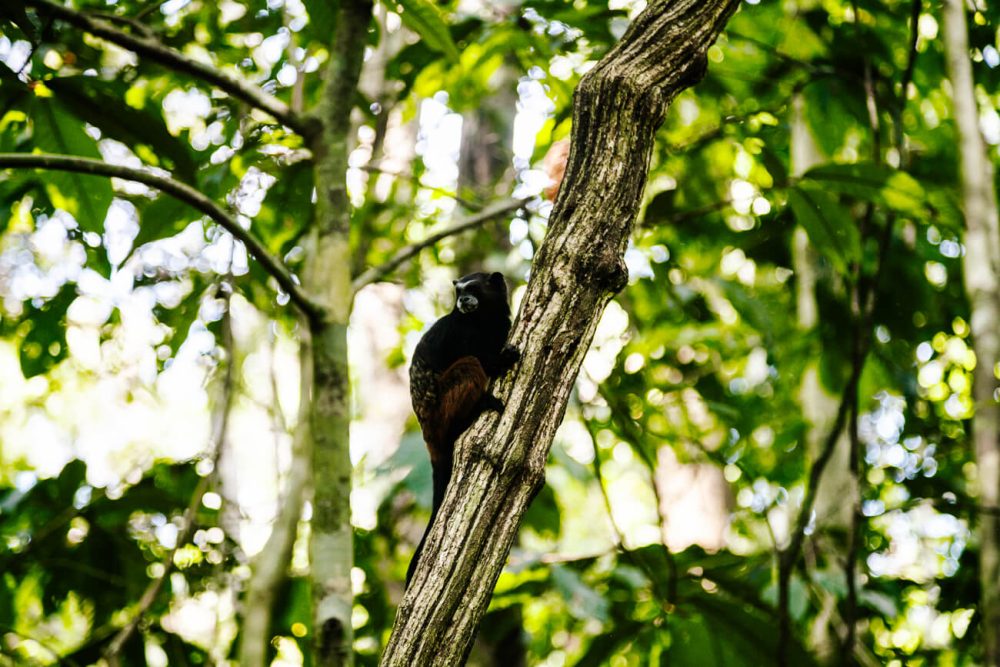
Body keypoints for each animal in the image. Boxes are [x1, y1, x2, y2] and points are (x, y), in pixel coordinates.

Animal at [404, 272, 520, 584]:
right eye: (459, 292)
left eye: (473, 289)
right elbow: (482, 360)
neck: (484, 319)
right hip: (439, 409)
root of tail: (427, 430)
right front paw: (503, 359)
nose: (463, 300)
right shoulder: (460, 331)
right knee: (469, 365)